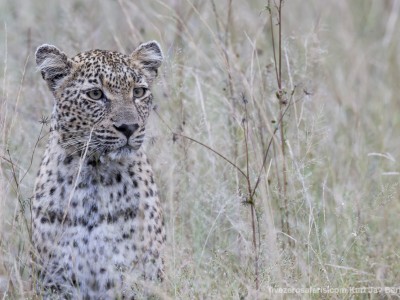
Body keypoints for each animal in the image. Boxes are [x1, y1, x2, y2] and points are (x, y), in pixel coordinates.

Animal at [31, 40, 166, 300]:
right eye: (95, 94)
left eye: (138, 92)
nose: (129, 127)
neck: (95, 177)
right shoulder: (56, 282)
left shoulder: (138, 279)